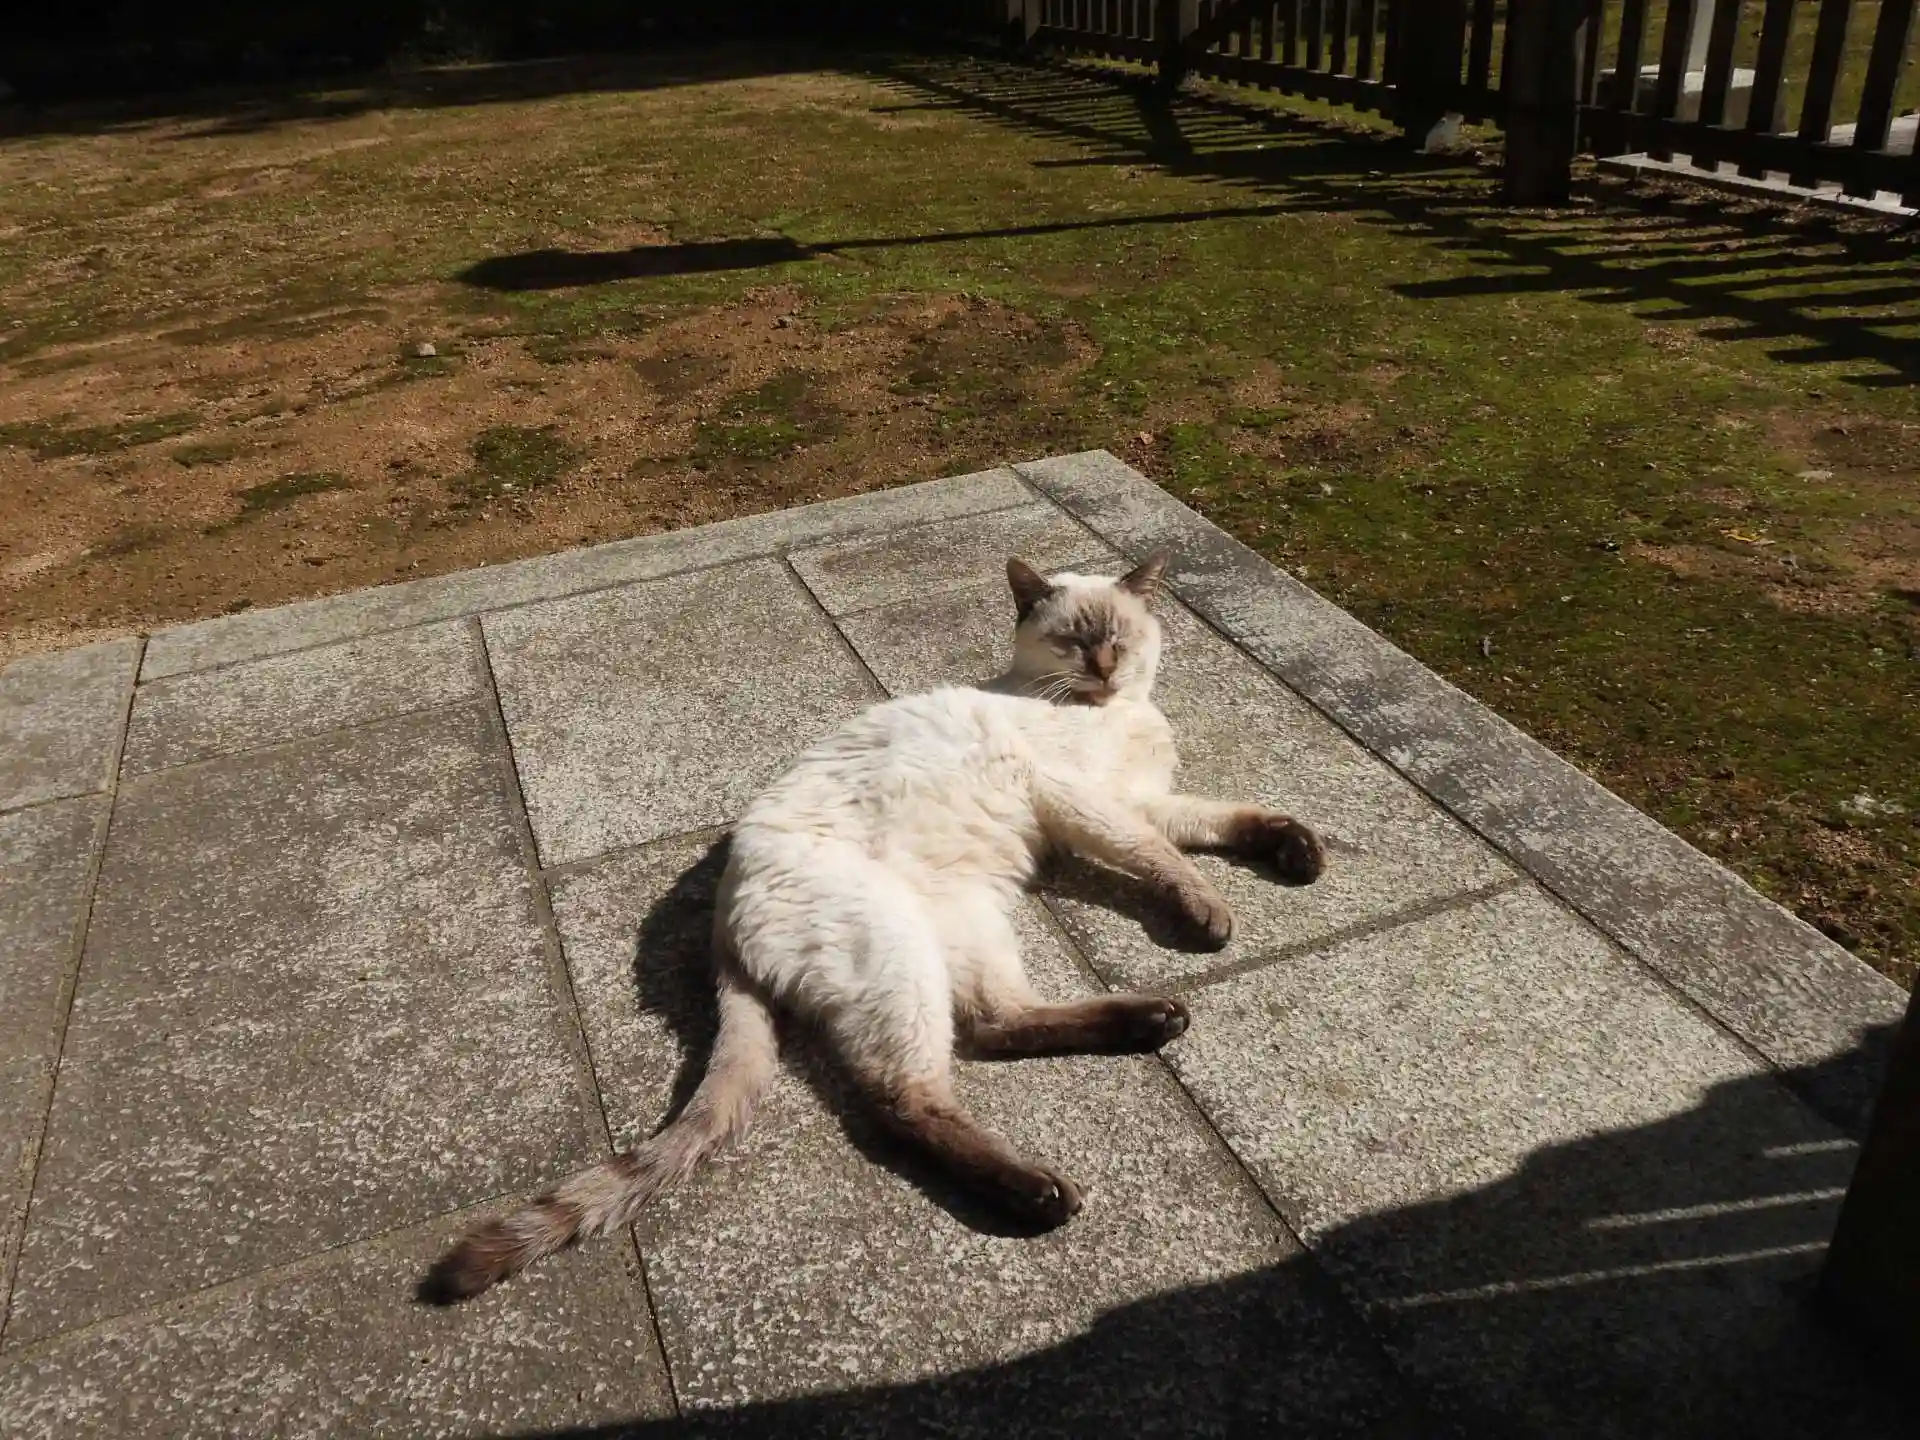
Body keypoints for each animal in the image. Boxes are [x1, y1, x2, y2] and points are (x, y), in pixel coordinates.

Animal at [423, 550, 1325, 1302]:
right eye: (1074, 641)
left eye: (1118, 638)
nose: (1103, 669)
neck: (1114, 715)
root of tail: (722, 923)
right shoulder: (1088, 806)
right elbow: (1168, 861)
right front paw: (1212, 918)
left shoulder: (1144, 801)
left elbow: (1225, 819)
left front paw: (1299, 853)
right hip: (897, 953)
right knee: (907, 1099)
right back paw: (1038, 1191)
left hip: (967, 921)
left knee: (994, 1024)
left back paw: (1152, 1019)